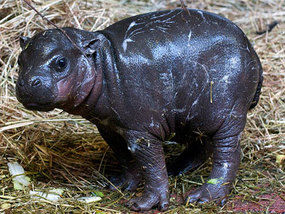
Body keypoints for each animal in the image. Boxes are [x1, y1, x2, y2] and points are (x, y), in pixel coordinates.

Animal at [16, 7, 262, 211]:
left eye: (61, 63)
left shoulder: (141, 131)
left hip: (225, 113)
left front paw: (144, 204)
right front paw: (119, 184)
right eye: (19, 60)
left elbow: (152, 166)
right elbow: (125, 157)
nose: (27, 82)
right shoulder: (110, 126)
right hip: (198, 114)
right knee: (203, 144)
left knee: (228, 152)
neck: (102, 61)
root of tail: (251, 49)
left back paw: (202, 197)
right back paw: (176, 168)